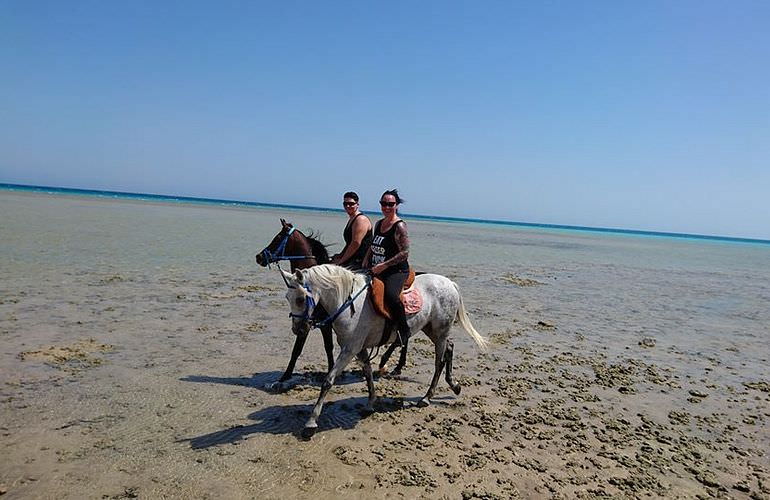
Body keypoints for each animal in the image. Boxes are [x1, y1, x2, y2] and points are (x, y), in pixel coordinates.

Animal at [280, 264, 486, 440]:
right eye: (287, 298)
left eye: (300, 299)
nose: (298, 329)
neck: (348, 302)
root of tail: (449, 283)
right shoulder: (359, 348)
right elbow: (368, 374)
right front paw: (370, 403)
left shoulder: (349, 349)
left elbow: (328, 381)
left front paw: (310, 423)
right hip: (431, 330)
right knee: (450, 348)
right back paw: (454, 385)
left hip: (440, 332)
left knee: (439, 362)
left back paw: (427, 397)